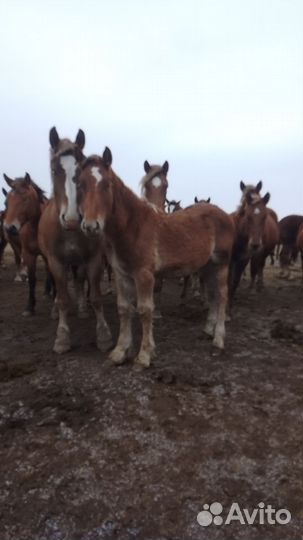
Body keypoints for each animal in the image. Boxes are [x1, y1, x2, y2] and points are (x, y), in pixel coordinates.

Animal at [38, 127, 112, 354]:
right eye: (54, 170)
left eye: (79, 174)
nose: (72, 219)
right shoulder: (55, 261)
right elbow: (62, 298)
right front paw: (62, 337)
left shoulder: (93, 259)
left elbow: (96, 297)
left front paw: (103, 335)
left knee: (79, 280)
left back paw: (81, 308)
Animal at [76, 147, 235, 368]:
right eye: (80, 184)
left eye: (106, 185)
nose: (91, 226)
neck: (133, 226)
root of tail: (225, 215)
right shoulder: (121, 274)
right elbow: (124, 308)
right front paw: (119, 352)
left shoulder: (144, 275)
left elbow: (145, 310)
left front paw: (144, 356)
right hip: (207, 266)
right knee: (212, 295)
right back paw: (208, 330)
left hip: (221, 264)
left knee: (221, 295)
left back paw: (218, 340)